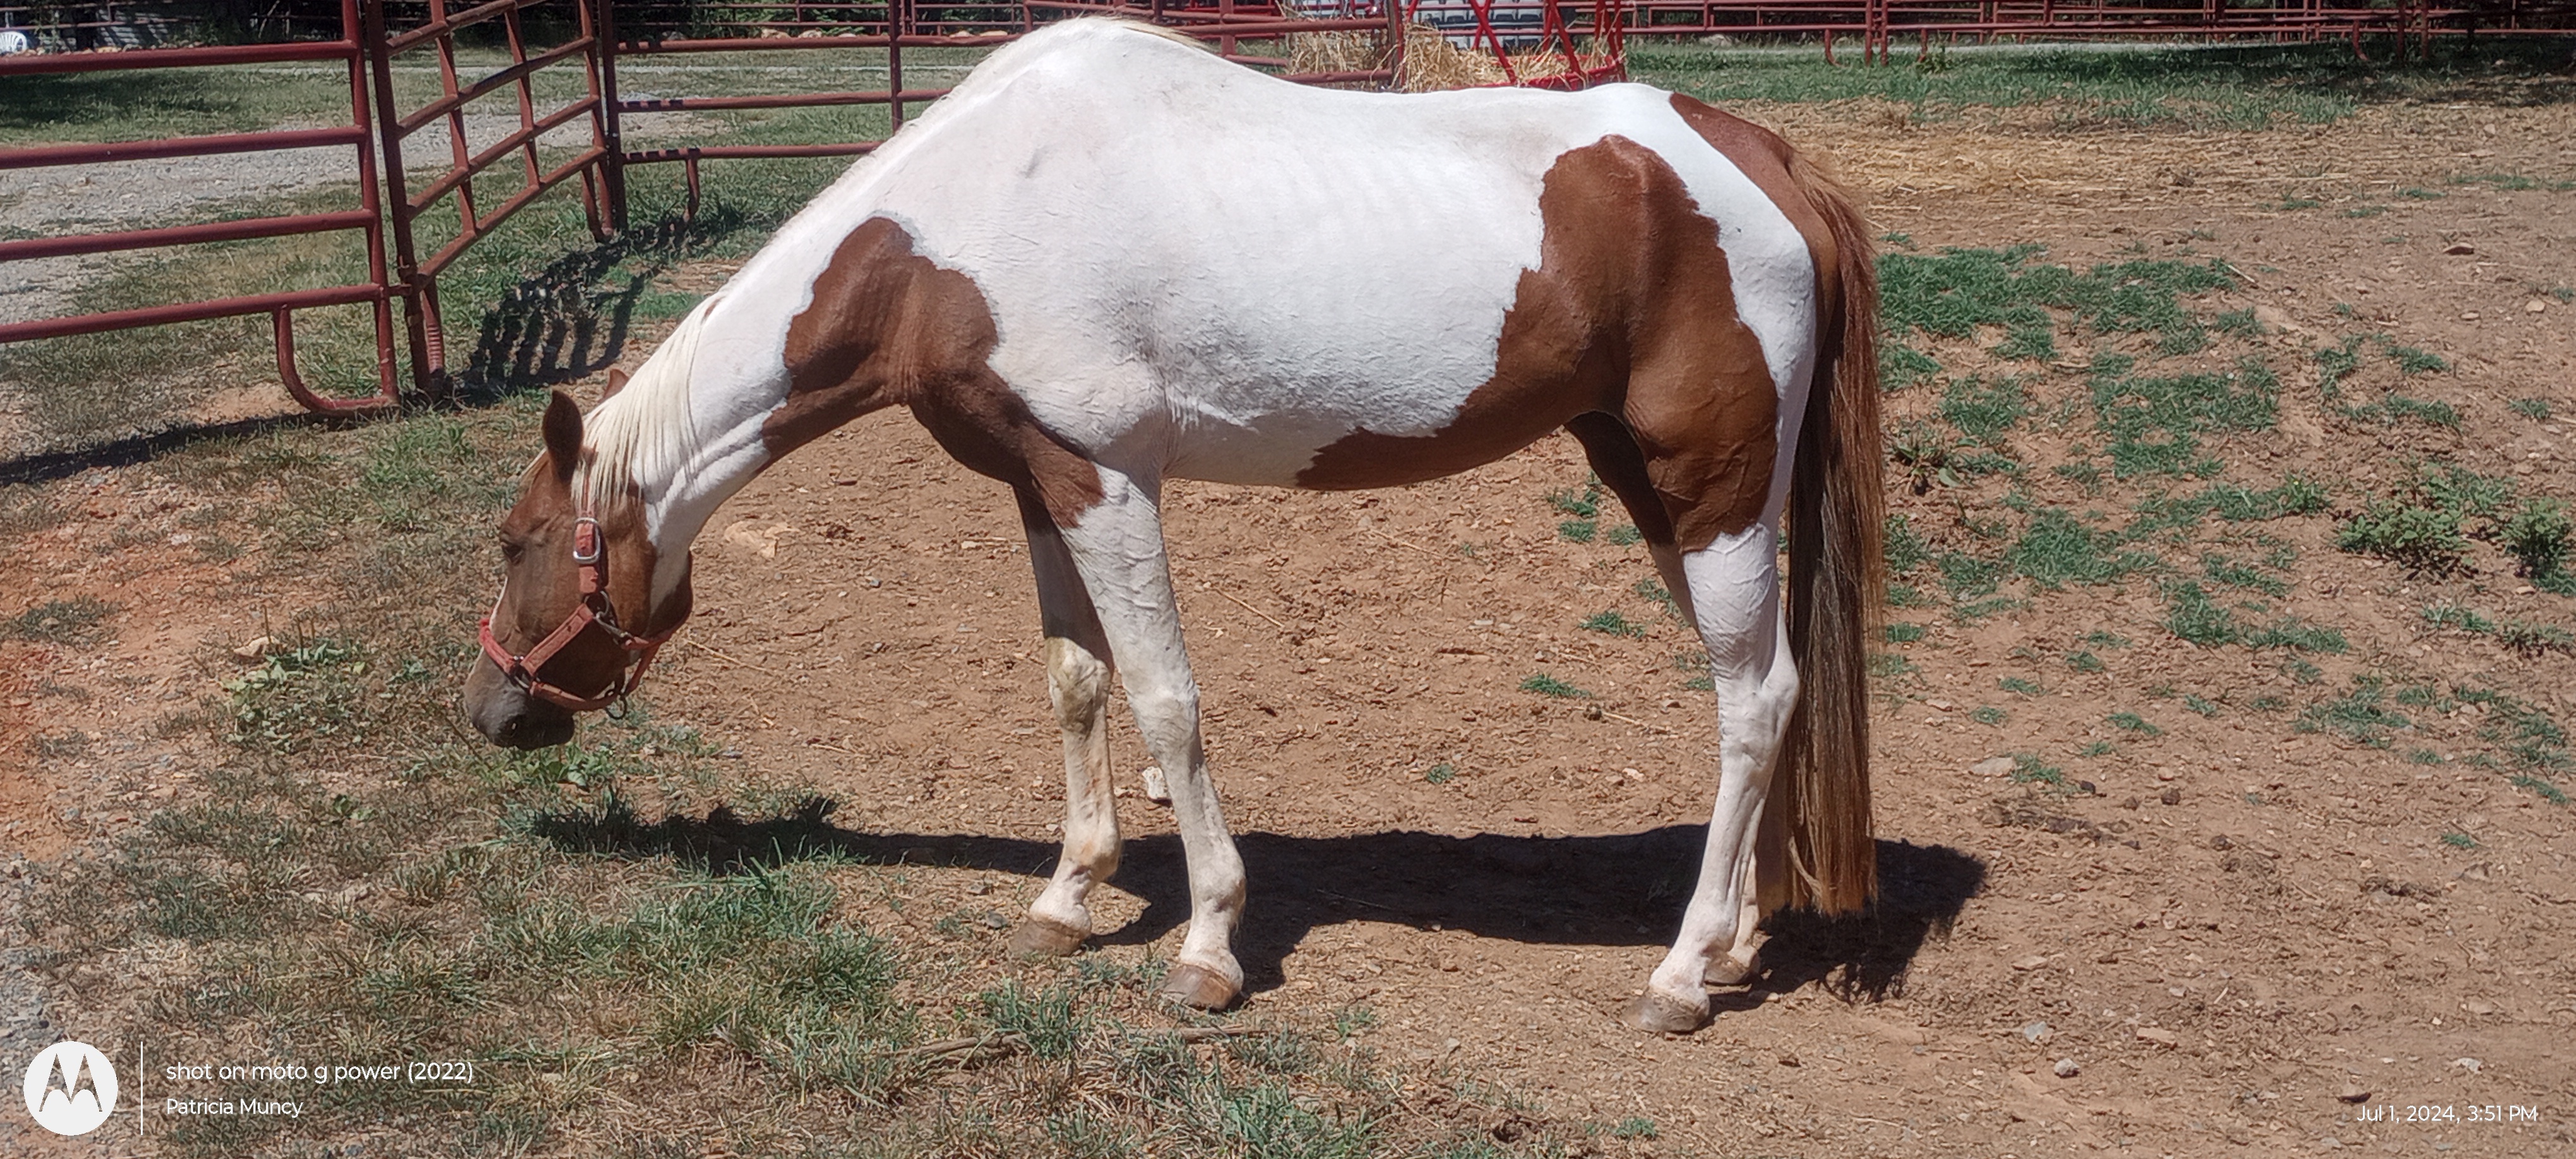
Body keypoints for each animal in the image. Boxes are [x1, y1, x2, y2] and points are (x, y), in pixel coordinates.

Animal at [462, 18, 1884, 1033]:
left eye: (520, 543)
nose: (488, 714)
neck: (956, 231)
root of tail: (1764, 160)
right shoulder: (1038, 481)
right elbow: (1078, 683)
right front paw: (1069, 895)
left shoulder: (1109, 479)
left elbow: (1165, 699)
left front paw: (1206, 947)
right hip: (1660, 492)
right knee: (1774, 687)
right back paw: (1739, 941)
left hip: (1710, 495)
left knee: (1752, 702)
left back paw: (1681, 975)